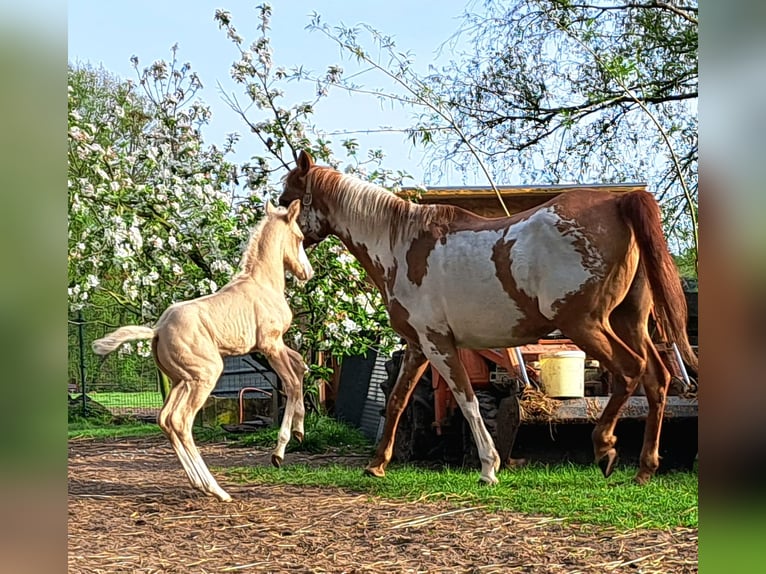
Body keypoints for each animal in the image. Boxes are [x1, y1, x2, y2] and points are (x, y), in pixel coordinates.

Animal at [93, 202, 316, 504]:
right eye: (300, 237)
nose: (308, 272)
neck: (262, 283)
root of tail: (157, 329)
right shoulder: (270, 344)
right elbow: (292, 383)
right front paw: (279, 452)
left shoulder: (274, 345)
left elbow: (301, 366)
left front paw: (300, 431)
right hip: (205, 375)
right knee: (180, 421)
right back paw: (217, 489)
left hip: (182, 380)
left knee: (165, 419)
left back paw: (200, 484)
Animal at [284, 151, 704, 488]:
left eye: (286, 200)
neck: (401, 245)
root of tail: (620, 202)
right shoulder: (419, 346)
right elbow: (398, 401)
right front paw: (377, 465)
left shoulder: (440, 344)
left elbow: (466, 400)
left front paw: (489, 467)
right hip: (627, 322)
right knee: (657, 379)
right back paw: (644, 469)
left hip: (585, 325)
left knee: (631, 370)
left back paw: (605, 447)